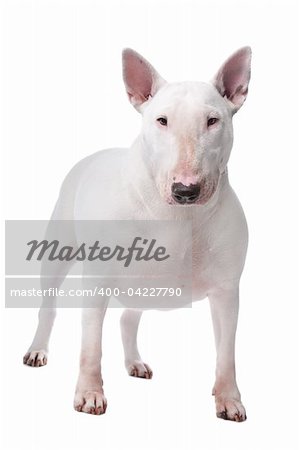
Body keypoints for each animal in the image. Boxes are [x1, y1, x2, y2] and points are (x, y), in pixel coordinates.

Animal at [24, 48, 253, 422]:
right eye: (161, 120)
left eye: (213, 120)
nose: (185, 190)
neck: (177, 217)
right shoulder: (97, 281)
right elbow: (90, 346)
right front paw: (90, 395)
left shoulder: (226, 290)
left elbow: (227, 352)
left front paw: (229, 399)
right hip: (58, 251)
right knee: (49, 307)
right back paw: (36, 350)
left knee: (128, 319)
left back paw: (135, 363)